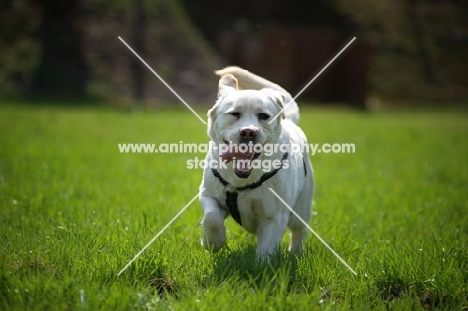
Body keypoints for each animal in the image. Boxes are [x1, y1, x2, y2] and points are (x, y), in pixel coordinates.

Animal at [198, 67, 314, 260]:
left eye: (264, 116)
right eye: (234, 114)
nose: (248, 132)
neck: (242, 181)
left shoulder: (275, 217)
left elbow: (265, 251)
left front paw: (262, 266)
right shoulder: (208, 195)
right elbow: (211, 218)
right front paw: (212, 242)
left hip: (301, 209)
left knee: (299, 232)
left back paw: (295, 254)